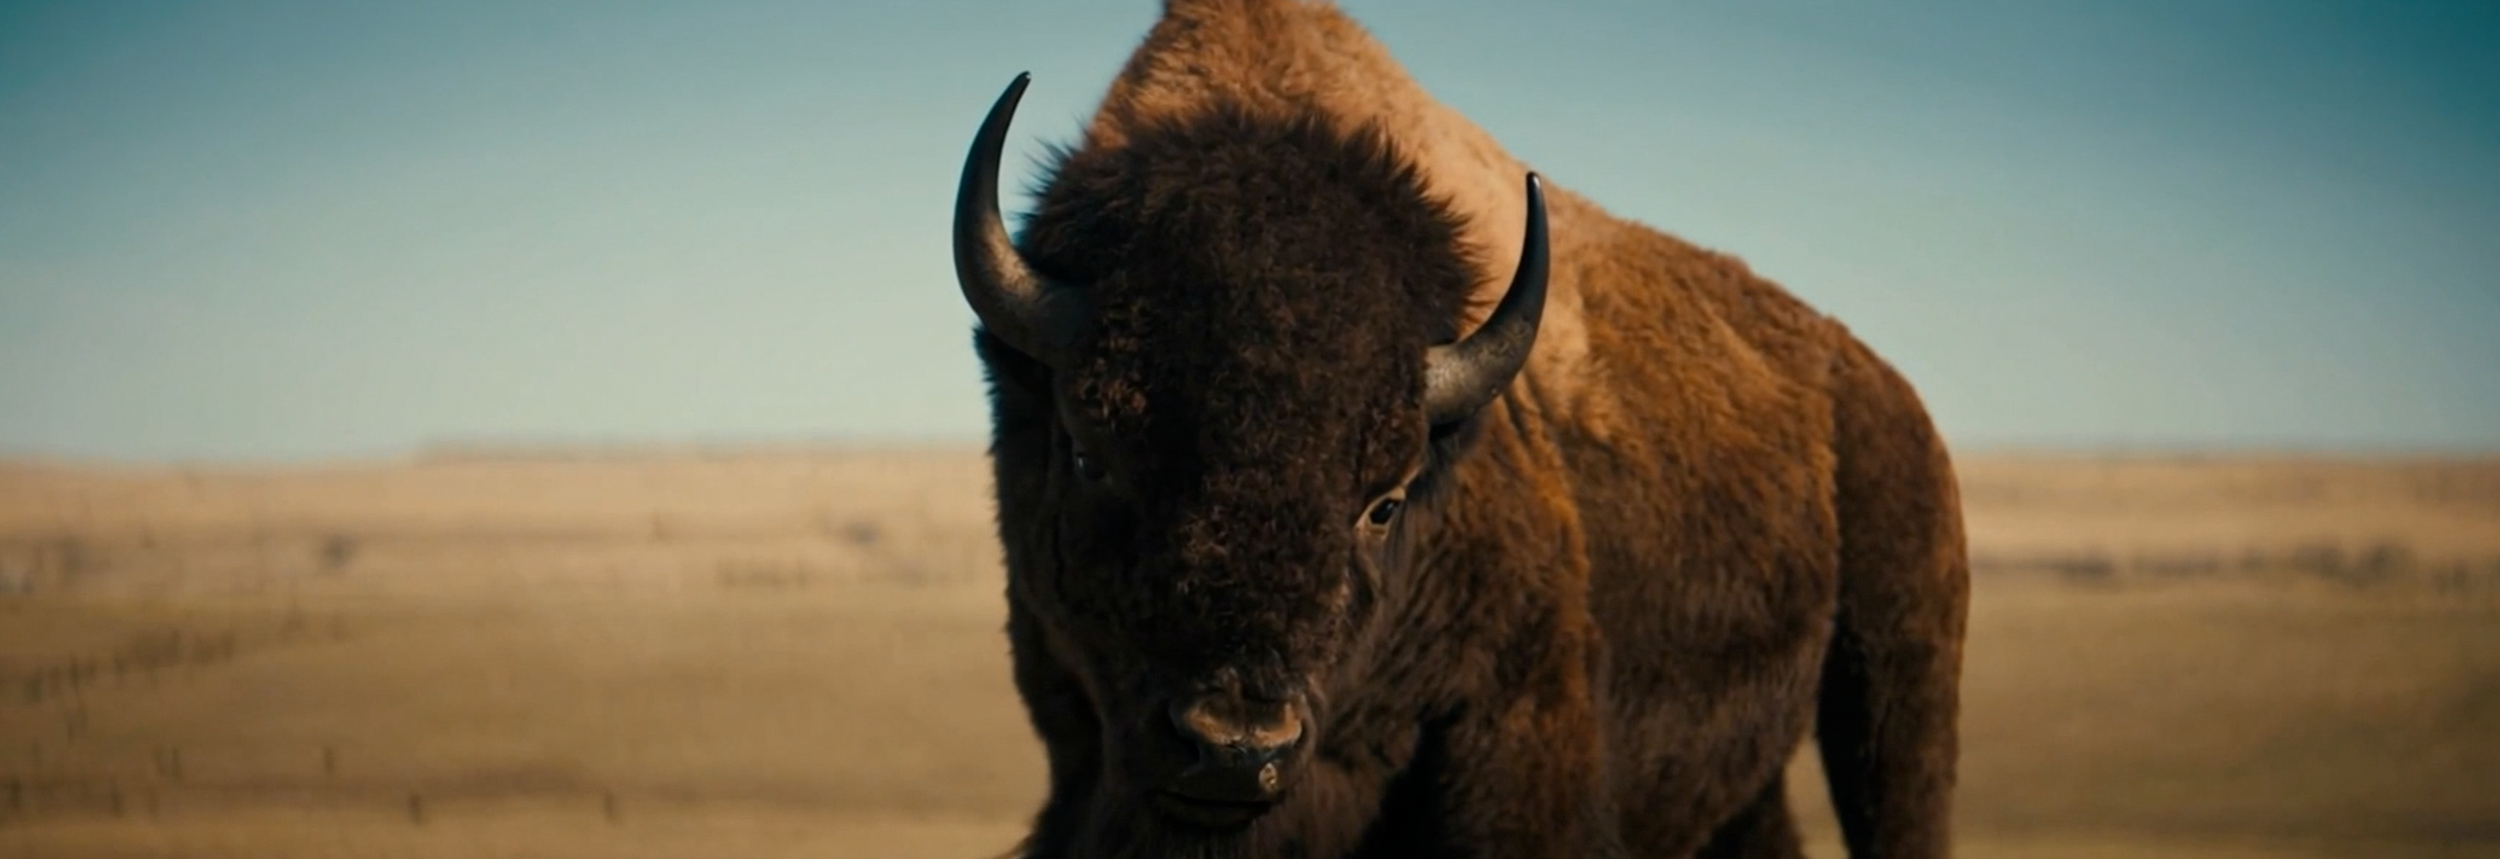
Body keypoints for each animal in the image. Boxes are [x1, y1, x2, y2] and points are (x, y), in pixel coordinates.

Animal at [951, 1, 1968, 857]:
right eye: (1090, 453)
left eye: (1386, 500)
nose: (1236, 747)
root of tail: (1878, 389)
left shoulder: (1524, 727)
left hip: (1899, 681)